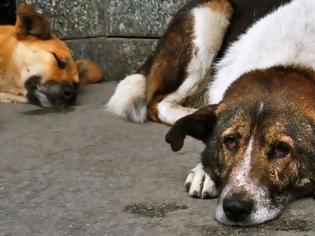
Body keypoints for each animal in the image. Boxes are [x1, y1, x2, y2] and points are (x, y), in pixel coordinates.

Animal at [107, 0, 315, 226]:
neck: (292, 65)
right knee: (157, 102)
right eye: (230, 142)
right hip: (210, 15)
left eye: (281, 149)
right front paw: (203, 172)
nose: (235, 208)